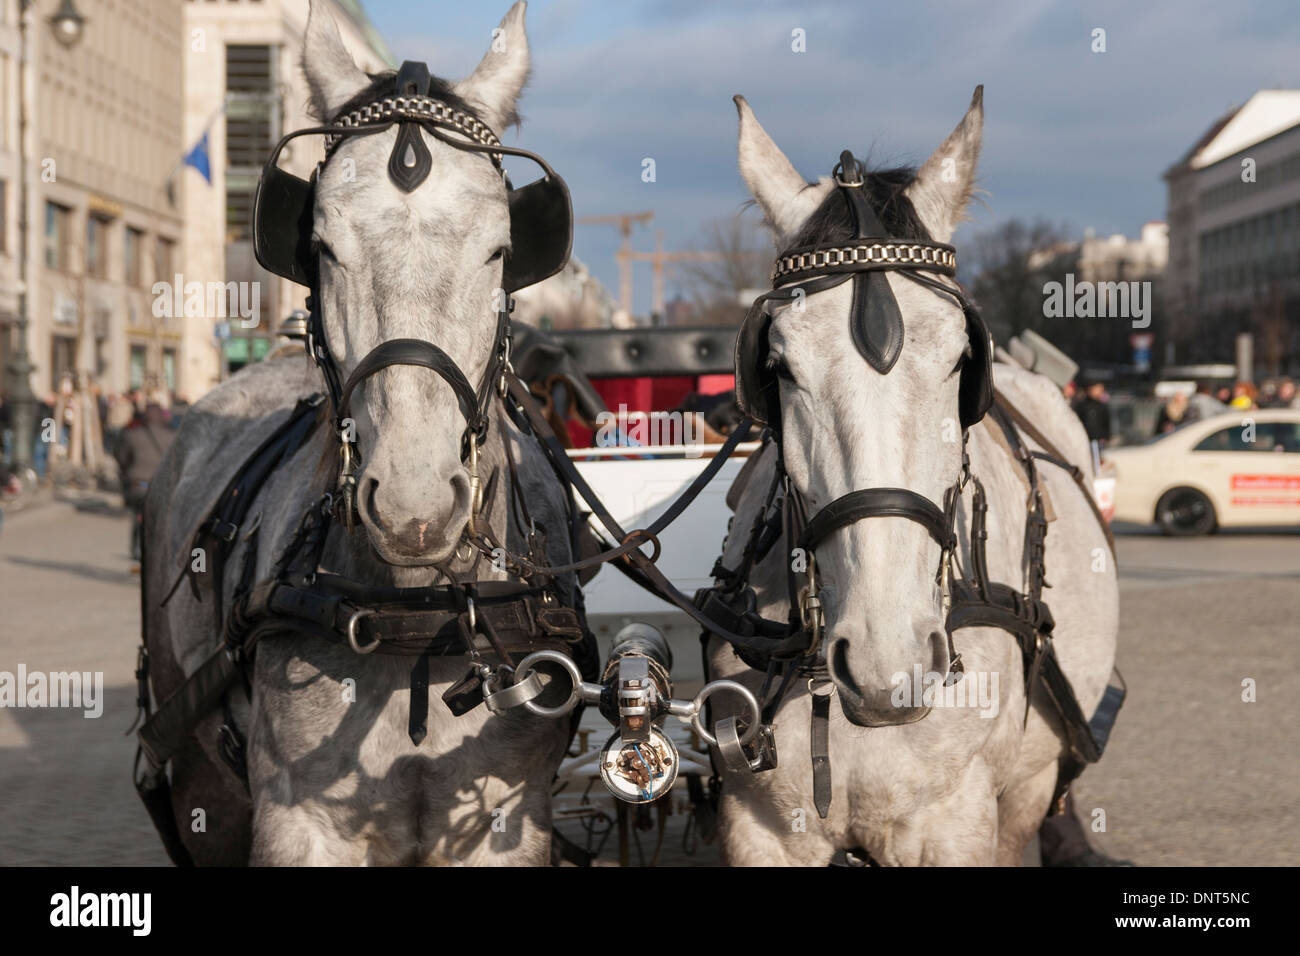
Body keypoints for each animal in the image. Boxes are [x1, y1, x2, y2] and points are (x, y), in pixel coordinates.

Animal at [707, 91, 1123, 868]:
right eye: (776, 366)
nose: (887, 665)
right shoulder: (760, 828)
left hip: (1027, 787)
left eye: (962, 359)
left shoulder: (954, 824)